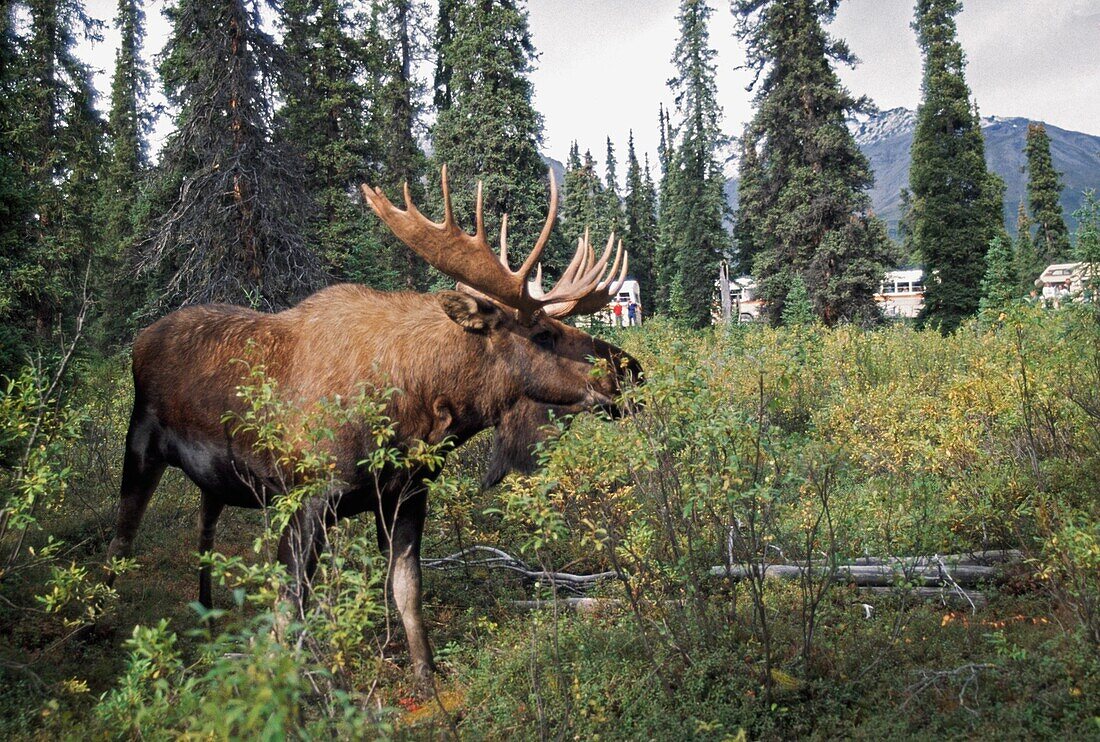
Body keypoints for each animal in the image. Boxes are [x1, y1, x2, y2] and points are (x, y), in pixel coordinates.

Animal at [103, 167, 642, 677]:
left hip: (212, 483)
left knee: (204, 534)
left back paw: (207, 618)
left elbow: (407, 592)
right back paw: (102, 622)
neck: (418, 411)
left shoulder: (408, 496)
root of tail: (139, 340)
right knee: (120, 538)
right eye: (544, 333)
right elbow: (287, 612)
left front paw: (426, 676)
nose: (630, 369)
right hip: (140, 445)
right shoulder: (309, 496)